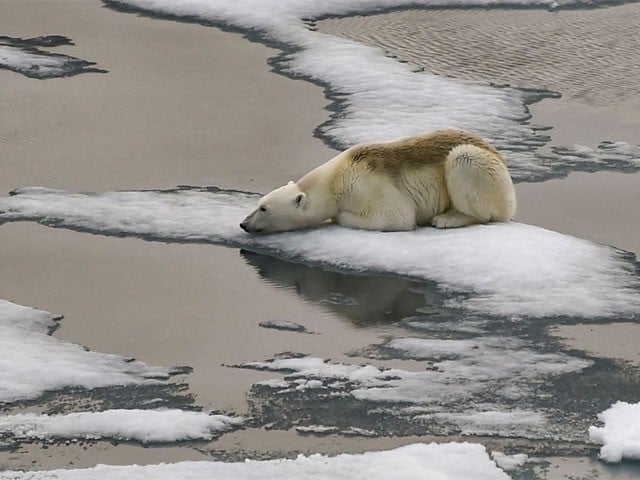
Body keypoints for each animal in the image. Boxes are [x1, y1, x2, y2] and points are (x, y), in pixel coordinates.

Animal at [240, 129, 516, 234]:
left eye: (264, 209)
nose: (243, 224)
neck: (336, 179)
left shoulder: (369, 185)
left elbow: (397, 217)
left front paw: (339, 217)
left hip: (483, 169)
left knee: (464, 162)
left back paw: (447, 218)